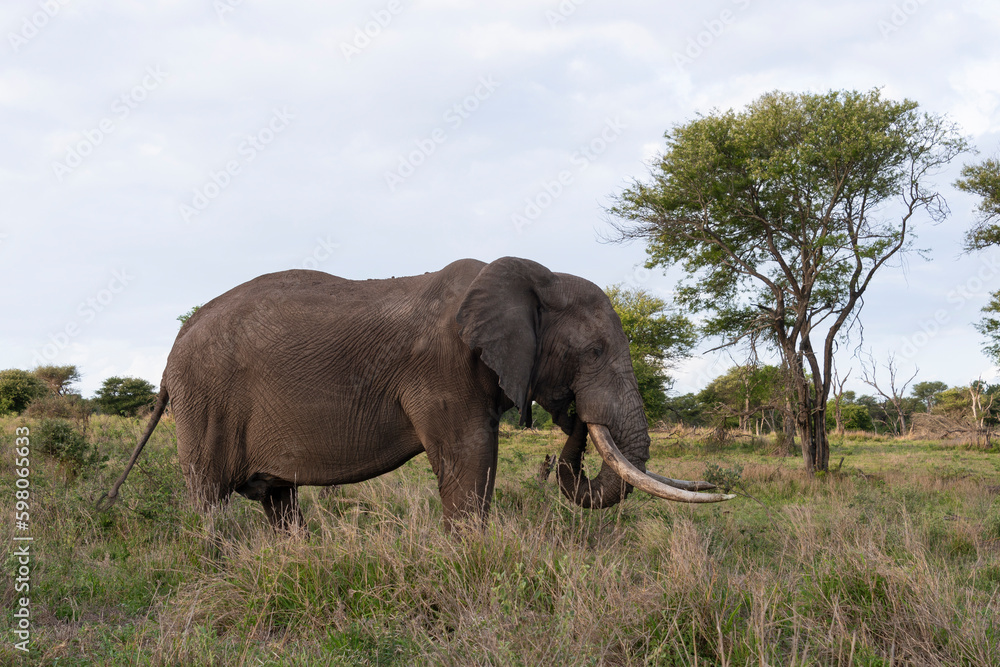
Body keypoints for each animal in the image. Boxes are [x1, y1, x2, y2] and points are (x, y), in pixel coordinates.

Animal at [100, 257, 732, 530]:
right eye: (596, 352)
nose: (575, 414)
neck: (532, 275)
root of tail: (170, 355)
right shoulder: (444, 368)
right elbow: (468, 458)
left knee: (279, 500)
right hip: (206, 397)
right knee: (209, 496)